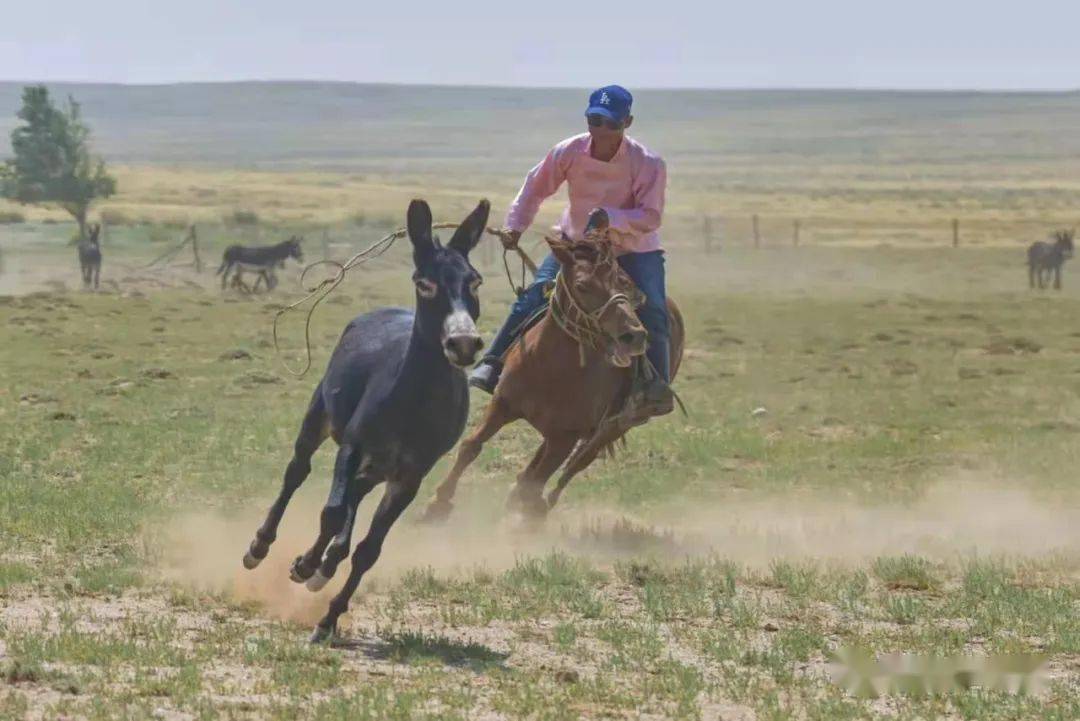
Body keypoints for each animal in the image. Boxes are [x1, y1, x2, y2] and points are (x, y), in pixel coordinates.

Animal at [421, 234, 682, 520]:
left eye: (624, 282)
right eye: (582, 285)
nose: (634, 335)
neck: (551, 367)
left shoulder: (568, 435)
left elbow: (539, 479)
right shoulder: (503, 404)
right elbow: (471, 446)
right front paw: (438, 503)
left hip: (615, 426)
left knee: (574, 465)